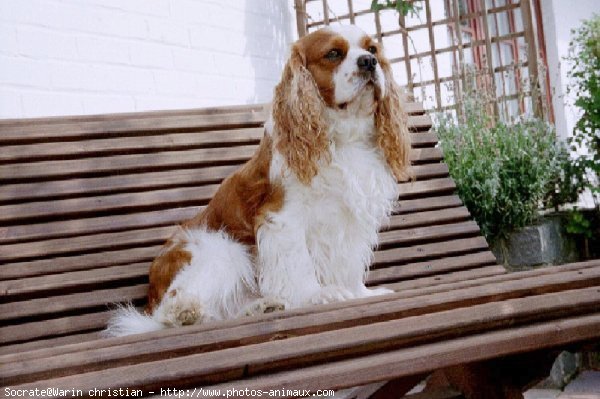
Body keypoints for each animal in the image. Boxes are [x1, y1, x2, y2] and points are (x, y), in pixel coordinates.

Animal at [104, 25, 412, 338]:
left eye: (372, 50)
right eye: (334, 54)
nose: (368, 62)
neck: (345, 139)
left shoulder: (350, 221)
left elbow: (349, 263)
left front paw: (360, 294)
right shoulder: (282, 218)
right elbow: (299, 261)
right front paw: (316, 295)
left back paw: (262, 307)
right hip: (220, 248)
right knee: (171, 311)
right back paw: (186, 311)